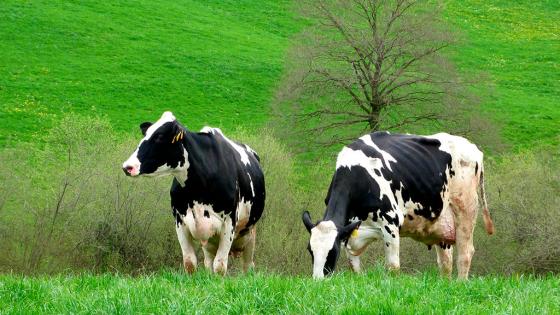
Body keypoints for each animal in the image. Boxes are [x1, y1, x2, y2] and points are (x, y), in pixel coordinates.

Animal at [121, 112, 266, 276]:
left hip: (249, 233)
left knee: (247, 266)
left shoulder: (229, 222)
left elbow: (220, 266)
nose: (127, 166)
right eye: (145, 133)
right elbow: (190, 263)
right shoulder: (180, 222)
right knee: (208, 262)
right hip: (210, 242)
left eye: (159, 136)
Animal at [302, 132, 494, 280]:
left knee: (465, 254)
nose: (318, 281)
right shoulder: (351, 234)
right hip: (442, 225)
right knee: (445, 263)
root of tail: (473, 148)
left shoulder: (390, 223)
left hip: (466, 209)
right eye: (310, 250)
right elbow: (355, 268)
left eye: (332, 251)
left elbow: (393, 268)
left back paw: (460, 283)